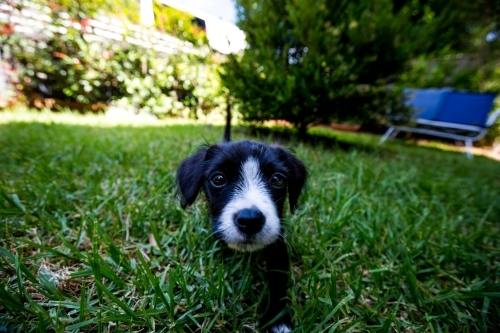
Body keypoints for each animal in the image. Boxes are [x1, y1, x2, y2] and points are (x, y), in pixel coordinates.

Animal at [178, 140, 306, 332]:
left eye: (277, 179)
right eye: (218, 179)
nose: (250, 220)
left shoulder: (278, 246)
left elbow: (277, 280)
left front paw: (277, 319)